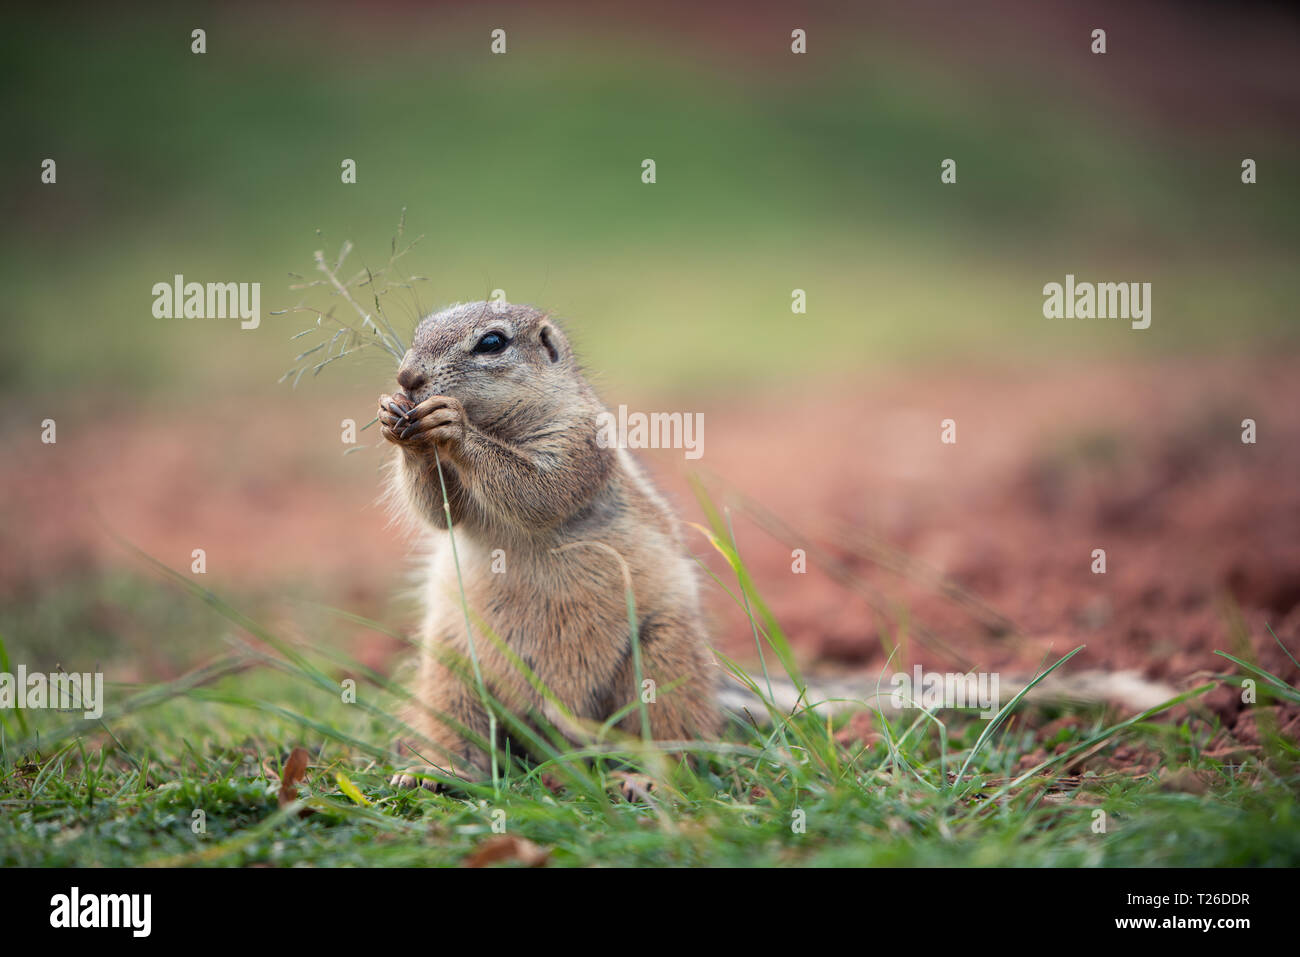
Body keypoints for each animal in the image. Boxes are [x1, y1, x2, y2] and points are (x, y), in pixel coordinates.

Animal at [379, 300, 722, 785]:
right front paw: (393, 417)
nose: (406, 377)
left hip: (664, 661)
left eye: (492, 342)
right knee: (459, 734)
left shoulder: (578, 440)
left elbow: (539, 491)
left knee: (675, 737)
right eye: (420, 331)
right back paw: (435, 771)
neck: (497, 425)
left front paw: (453, 425)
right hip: (449, 669)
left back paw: (646, 779)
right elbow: (440, 512)